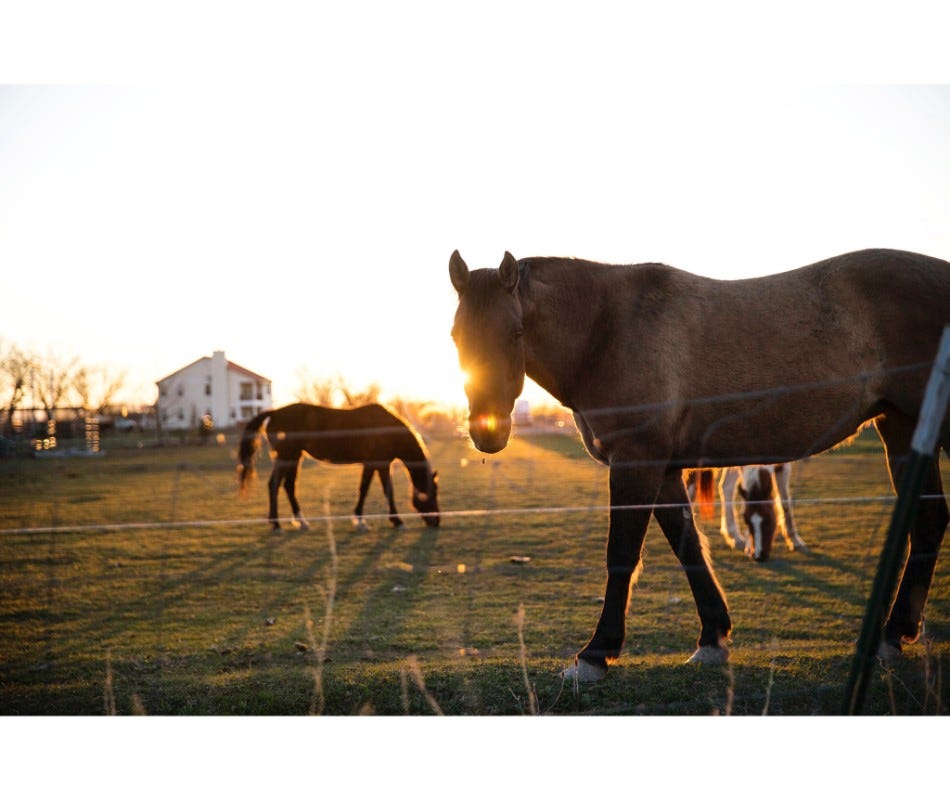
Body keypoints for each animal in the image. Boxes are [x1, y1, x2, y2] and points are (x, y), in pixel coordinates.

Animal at [242, 406, 442, 532]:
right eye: (431, 493)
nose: (437, 521)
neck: (386, 429)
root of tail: (275, 413)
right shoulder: (381, 464)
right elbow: (385, 491)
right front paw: (396, 522)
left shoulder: (372, 464)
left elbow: (364, 489)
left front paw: (360, 521)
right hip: (286, 456)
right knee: (274, 485)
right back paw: (276, 525)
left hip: (294, 456)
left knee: (289, 487)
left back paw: (301, 522)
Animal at [452, 245, 950, 680]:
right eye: (457, 337)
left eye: (516, 333)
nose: (488, 432)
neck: (606, 330)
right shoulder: (665, 471)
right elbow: (688, 546)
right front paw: (712, 636)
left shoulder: (636, 462)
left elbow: (622, 555)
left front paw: (595, 654)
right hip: (901, 427)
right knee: (929, 521)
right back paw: (892, 634)